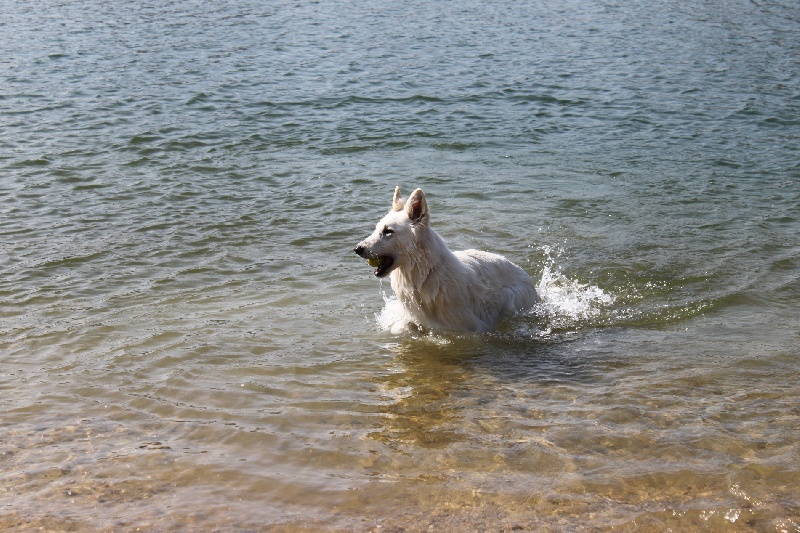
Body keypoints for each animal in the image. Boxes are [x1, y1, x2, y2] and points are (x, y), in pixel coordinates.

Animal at [354, 187, 536, 332]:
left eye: (388, 231)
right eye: (377, 229)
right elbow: (400, 326)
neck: (426, 273)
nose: (357, 249)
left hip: (509, 296)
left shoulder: (471, 327)